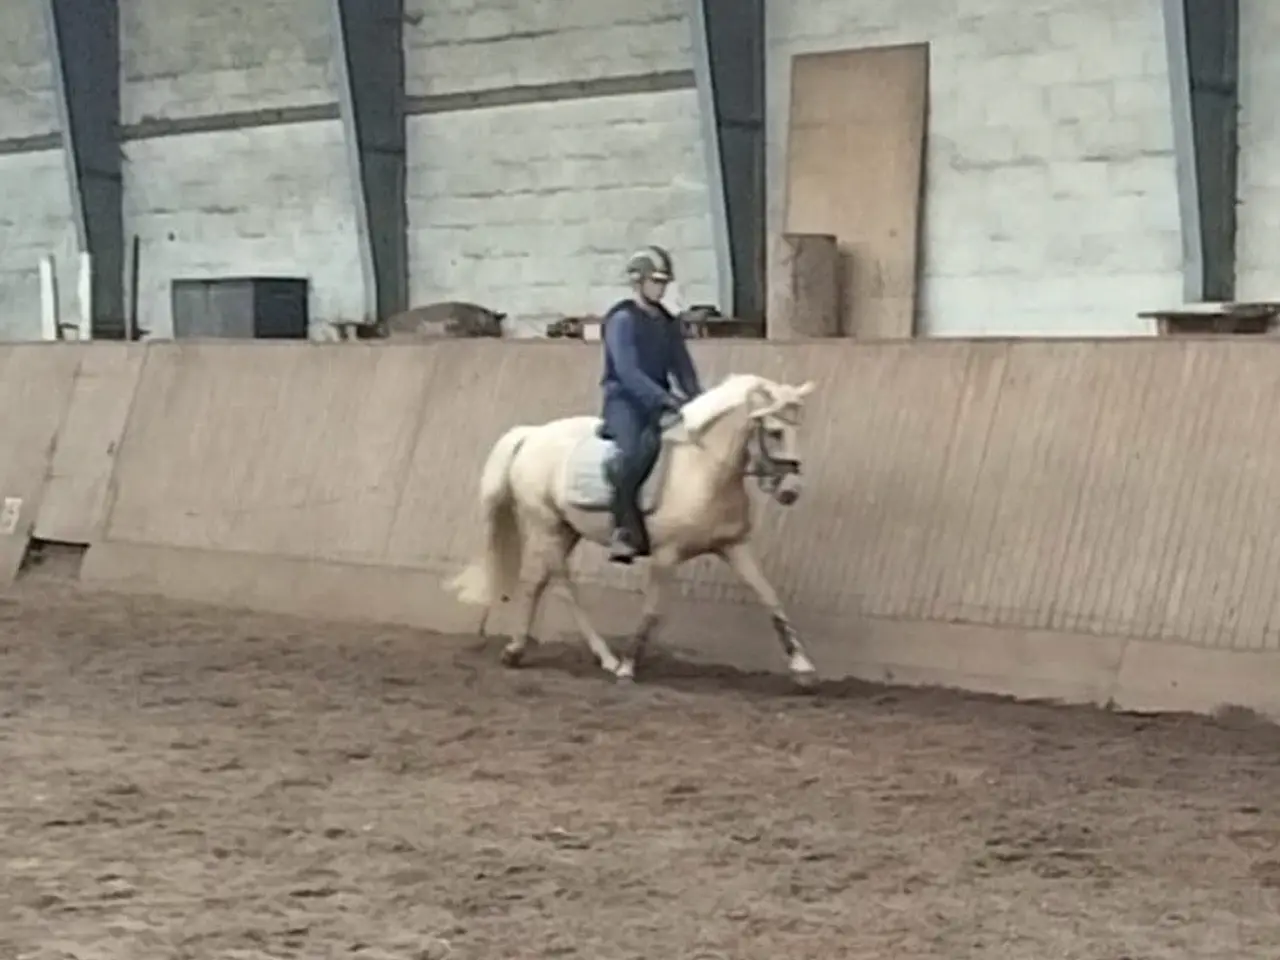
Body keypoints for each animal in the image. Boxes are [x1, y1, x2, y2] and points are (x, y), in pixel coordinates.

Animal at [445, 373, 819, 687]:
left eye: (797, 429)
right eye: (775, 431)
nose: (791, 491)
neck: (704, 469)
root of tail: (532, 434)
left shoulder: (734, 546)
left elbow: (769, 597)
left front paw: (802, 666)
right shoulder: (666, 555)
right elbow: (652, 611)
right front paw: (628, 666)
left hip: (566, 529)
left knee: (537, 583)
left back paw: (516, 650)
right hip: (545, 525)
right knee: (563, 586)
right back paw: (607, 659)